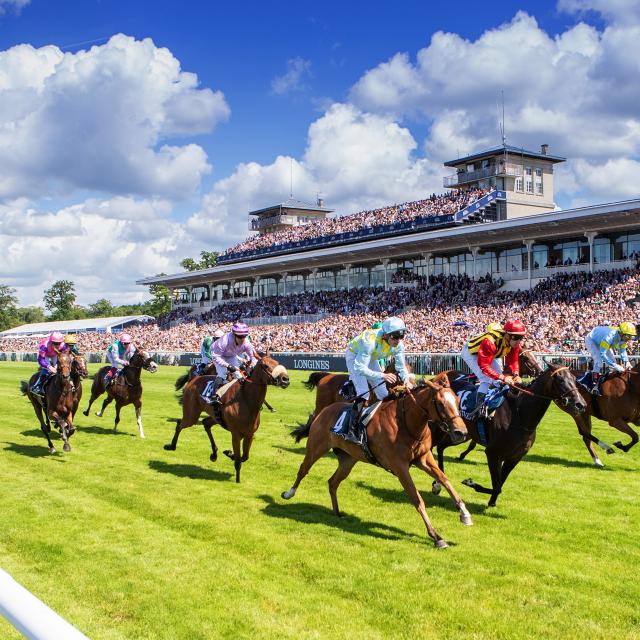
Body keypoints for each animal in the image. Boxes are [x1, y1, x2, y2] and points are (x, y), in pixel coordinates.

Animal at [162, 352, 290, 482]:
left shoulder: (250, 434)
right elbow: (238, 460)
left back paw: (214, 454)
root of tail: (193, 379)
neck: (246, 401)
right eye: (265, 365)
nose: (285, 379)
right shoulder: (236, 434)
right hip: (191, 415)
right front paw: (237, 480)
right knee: (180, 423)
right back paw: (171, 446)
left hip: (216, 416)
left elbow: (245, 457)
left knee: (205, 423)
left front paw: (229, 453)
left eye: (277, 363)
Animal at [282, 380, 472, 552]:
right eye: (440, 403)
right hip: (316, 448)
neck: (406, 423)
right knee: (303, 469)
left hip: (348, 460)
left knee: (333, 482)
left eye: (457, 401)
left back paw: (336, 512)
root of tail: (324, 410)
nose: (461, 432)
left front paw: (465, 514)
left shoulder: (424, 458)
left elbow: (446, 480)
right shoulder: (400, 467)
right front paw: (436, 536)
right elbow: (417, 499)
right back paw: (289, 493)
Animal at [432, 368, 588, 508]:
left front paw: (491, 501)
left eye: (575, 379)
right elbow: (496, 486)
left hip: (462, 434)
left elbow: (499, 485)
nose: (581, 404)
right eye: (560, 380)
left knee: (440, 447)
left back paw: (439, 479)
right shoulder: (493, 454)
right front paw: (471, 483)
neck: (519, 415)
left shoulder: (515, 457)